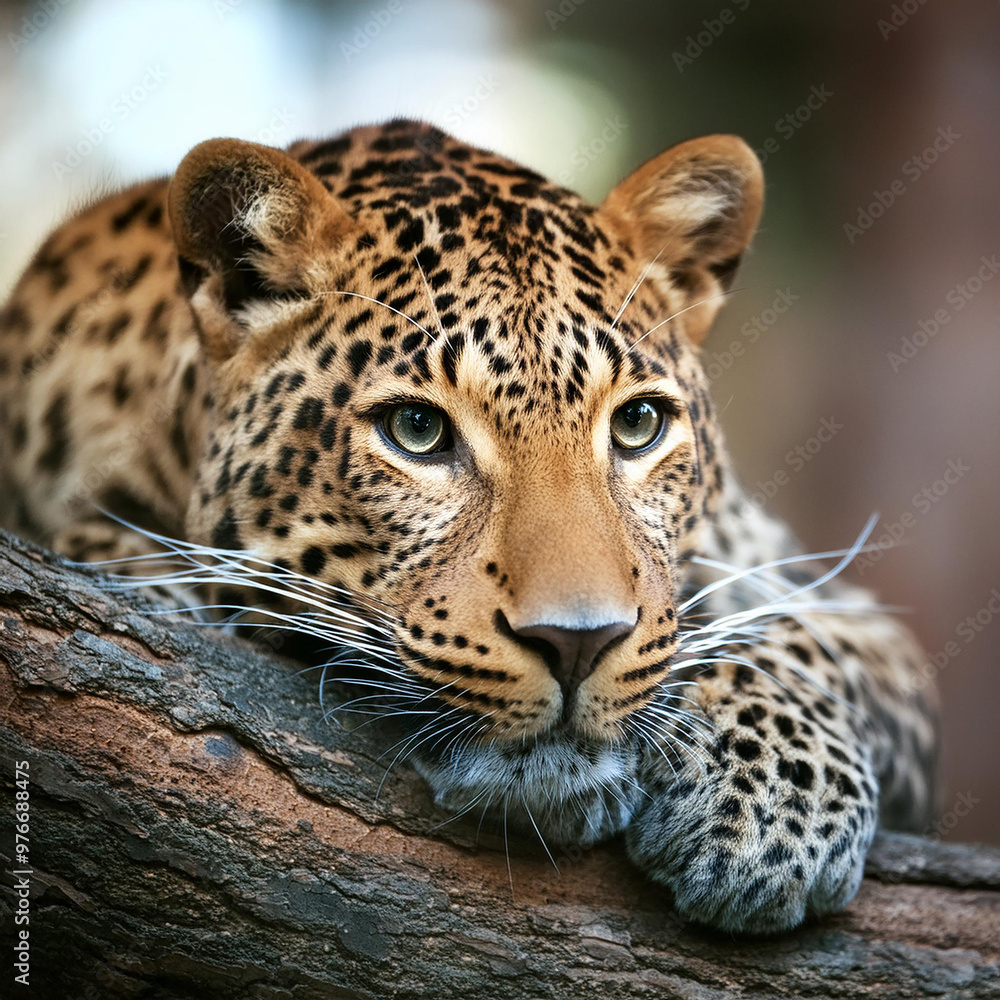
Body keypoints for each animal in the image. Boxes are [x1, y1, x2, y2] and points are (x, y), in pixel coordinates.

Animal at [0, 118, 938, 933]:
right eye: (417, 430)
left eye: (638, 425)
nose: (577, 643)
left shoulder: (843, 614)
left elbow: (792, 634)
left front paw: (772, 811)